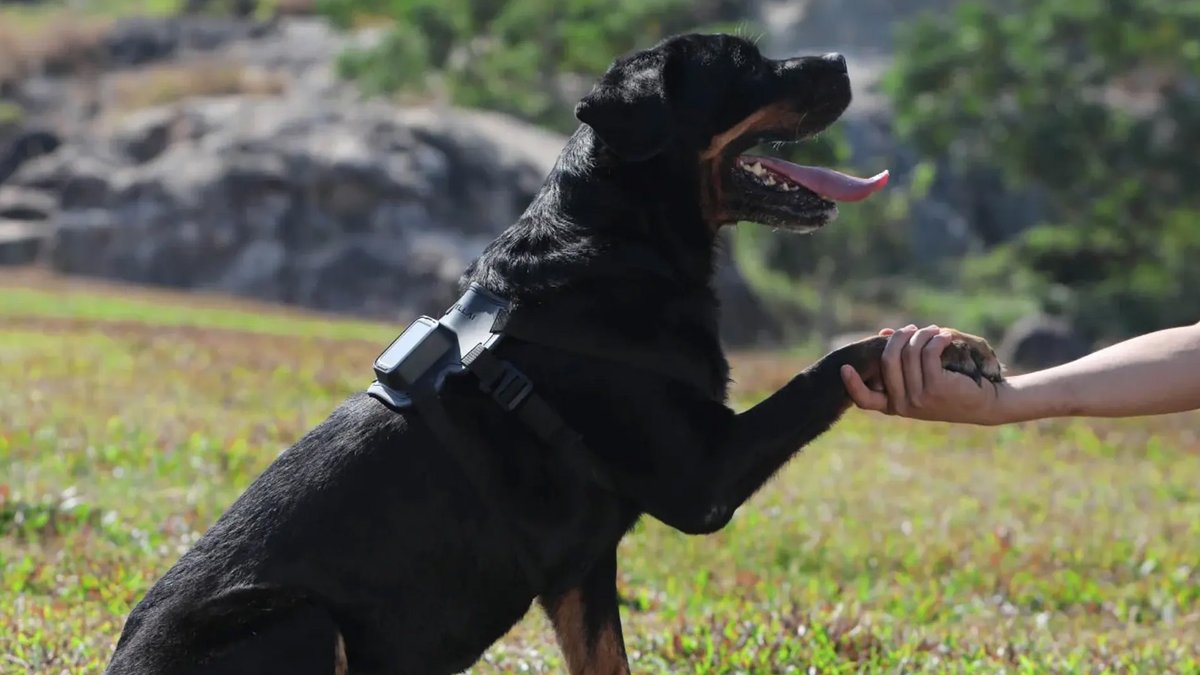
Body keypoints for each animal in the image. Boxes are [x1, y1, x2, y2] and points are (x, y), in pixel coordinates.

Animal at [105, 35, 1003, 672]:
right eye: (746, 66)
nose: (847, 60)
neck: (618, 238)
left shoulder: (583, 569)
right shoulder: (700, 483)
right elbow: (835, 362)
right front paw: (950, 345)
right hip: (297, 618)